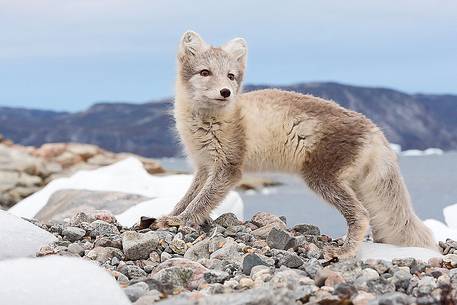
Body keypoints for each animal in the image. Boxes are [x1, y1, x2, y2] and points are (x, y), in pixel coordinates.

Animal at [158, 30, 438, 256]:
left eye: (231, 76)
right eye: (205, 72)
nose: (226, 92)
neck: (206, 123)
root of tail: (375, 130)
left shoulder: (229, 168)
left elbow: (201, 201)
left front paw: (182, 221)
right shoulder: (204, 166)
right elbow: (188, 196)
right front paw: (170, 215)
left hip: (321, 178)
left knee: (361, 215)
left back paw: (345, 252)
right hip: (353, 185)